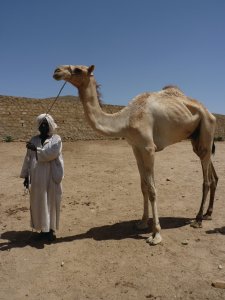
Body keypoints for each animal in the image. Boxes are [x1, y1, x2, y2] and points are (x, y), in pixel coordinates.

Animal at [52, 64, 218, 245]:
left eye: (77, 70)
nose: (57, 71)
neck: (125, 120)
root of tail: (210, 113)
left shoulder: (148, 148)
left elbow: (152, 190)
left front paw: (156, 234)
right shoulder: (136, 148)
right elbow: (143, 187)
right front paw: (142, 223)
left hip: (207, 129)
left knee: (206, 180)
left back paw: (198, 219)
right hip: (197, 139)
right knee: (212, 173)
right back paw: (208, 214)